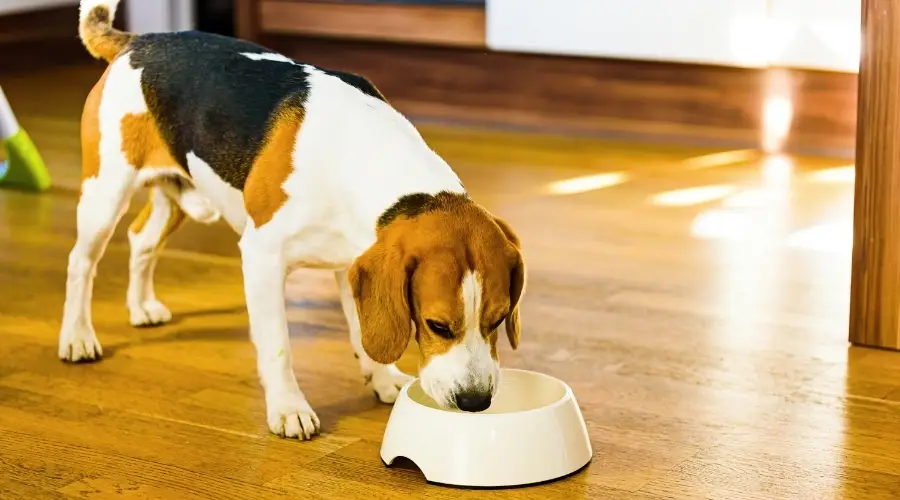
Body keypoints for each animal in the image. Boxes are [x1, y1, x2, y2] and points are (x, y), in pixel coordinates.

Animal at [59, 0, 524, 438]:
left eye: (498, 320)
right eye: (437, 325)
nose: (475, 402)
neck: (360, 154)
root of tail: (137, 41)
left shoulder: (352, 261)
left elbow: (363, 332)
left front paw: (383, 378)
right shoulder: (262, 258)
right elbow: (278, 346)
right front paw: (288, 409)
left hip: (177, 194)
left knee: (141, 238)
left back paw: (141, 306)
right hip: (105, 195)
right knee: (81, 262)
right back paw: (77, 337)